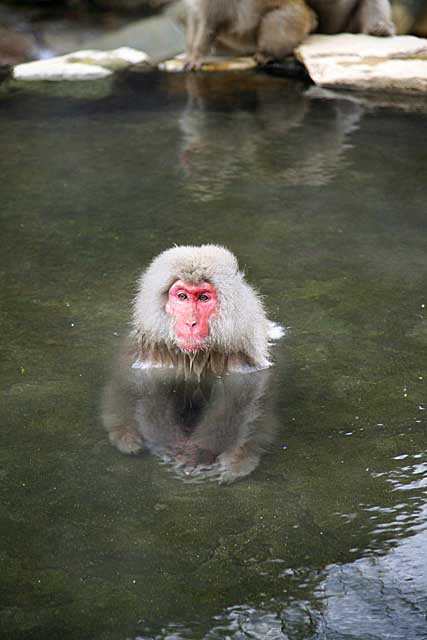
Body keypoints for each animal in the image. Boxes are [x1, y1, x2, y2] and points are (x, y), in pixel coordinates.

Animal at [183, 0, 394, 70]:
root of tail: (312, 16)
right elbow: (196, 22)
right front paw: (190, 52)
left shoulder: (218, 6)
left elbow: (210, 28)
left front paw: (196, 57)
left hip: (292, 21)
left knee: (274, 23)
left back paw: (266, 55)